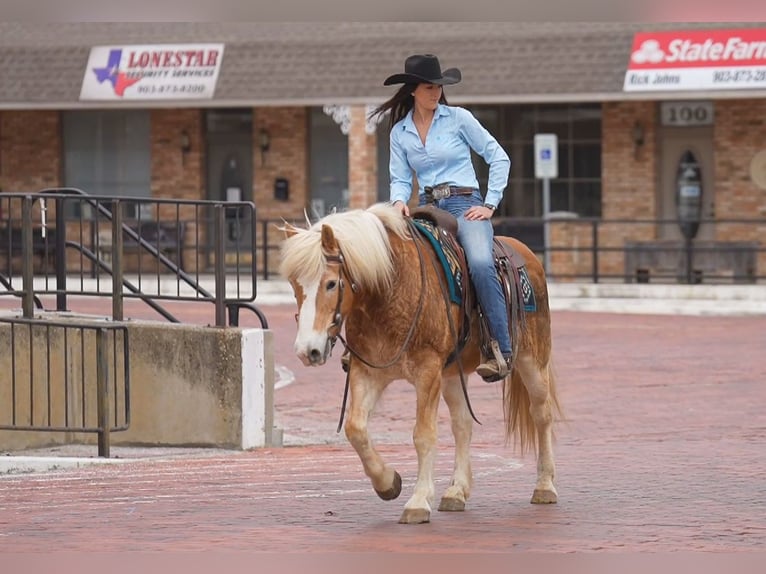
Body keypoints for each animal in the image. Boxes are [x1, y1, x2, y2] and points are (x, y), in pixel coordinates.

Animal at [279, 202, 561, 525]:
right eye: (294, 285)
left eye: (330, 283)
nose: (307, 350)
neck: (392, 289)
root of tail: (527, 254)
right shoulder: (367, 372)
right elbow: (355, 429)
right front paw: (388, 482)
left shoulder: (427, 372)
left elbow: (423, 435)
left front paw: (418, 501)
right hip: (452, 375)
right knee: (462, 424)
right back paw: (456, 491)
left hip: (532, 360)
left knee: (541, 414)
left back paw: (544, 486)